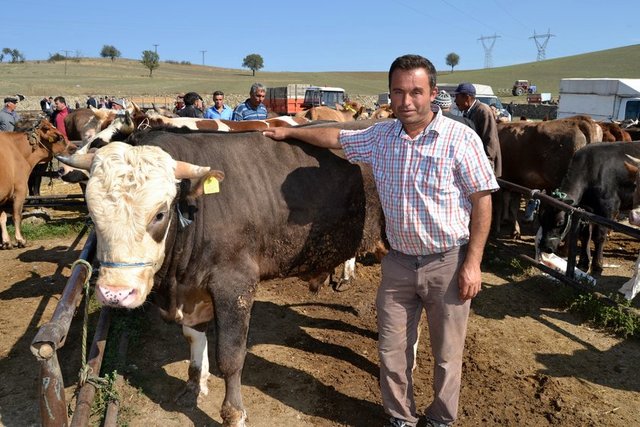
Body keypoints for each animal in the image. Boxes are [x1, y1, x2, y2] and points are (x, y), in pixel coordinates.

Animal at [0, 118, 74, 249]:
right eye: (60, 137)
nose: (75, 147)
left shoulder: (5, 196)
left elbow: (2, 218)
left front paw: (6, 242)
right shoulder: (20, 189)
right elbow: (16, 215)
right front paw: (20, 240)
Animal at [536, 141, 640, 274]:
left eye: (560, 223)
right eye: (541, 220)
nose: (545, 247)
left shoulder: (608, 209)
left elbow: (599, 236)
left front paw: (597, 265)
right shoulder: (584, 209)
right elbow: (585, 235)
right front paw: (583, 264)